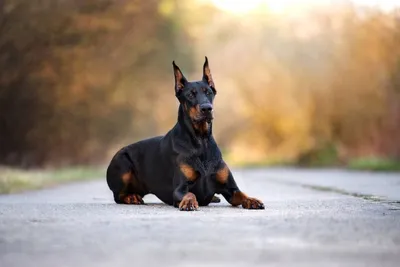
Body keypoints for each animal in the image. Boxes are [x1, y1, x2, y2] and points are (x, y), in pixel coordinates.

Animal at [105, 58, 266, 211]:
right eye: (190, 95)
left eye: (209, 92)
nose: (207, 108)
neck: (201, 141)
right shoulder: (180, 188)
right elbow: (189, 193)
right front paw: (189, 203)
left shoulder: (230, 188)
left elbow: (241, 193)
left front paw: (253, 200)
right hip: (123, 163)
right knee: (118, 195)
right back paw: (132, 197)